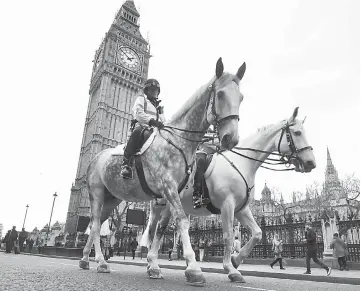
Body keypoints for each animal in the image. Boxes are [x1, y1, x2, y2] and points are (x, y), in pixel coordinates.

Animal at [77, 57, 246, 288]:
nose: (231, 138)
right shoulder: (168, 187)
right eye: (219, 94)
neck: (179, 142)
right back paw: (102, 262)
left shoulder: (169, 194)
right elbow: (182, 221)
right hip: (95, 193)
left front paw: (155, 267)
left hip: (112, 198)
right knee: (94, 224)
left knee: (97, 224)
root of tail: (97, 156)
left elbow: (160, 229)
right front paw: (194, 269)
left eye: (241, 97)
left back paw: (86, 259)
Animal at [141, 107, 316, 282]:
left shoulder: (241, 208)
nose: (311, 163)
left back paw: (155, 264)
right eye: (298, 132)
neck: (241, 163)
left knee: (161, 229)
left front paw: (236, 260)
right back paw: (153, 263)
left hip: (171, 204)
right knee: (153, 229)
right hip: (160, 202)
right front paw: (230, 268)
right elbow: (228, 236)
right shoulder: (227, 204)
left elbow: (257, 233)